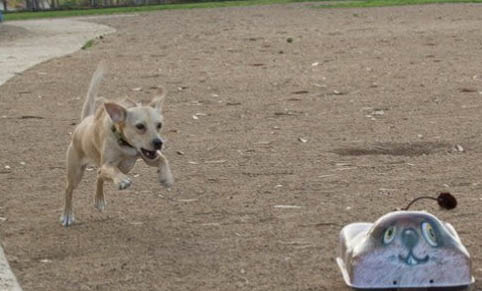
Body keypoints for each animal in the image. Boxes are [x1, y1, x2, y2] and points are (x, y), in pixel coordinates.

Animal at [60, 63, 173, 228]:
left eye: (159, 125)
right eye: (140, 126)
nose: (158, 142)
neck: (125, 146)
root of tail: (83, 122)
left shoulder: (147, 155)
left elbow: (163, 159)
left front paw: (166, 177)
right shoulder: (108, 163)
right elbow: (111, 169)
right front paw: (122, 180)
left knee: (99, 175)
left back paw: (99, 200)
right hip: (76, 172)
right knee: (69, 189)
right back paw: (67, 215)